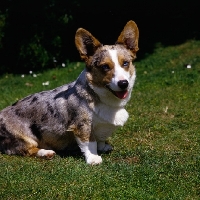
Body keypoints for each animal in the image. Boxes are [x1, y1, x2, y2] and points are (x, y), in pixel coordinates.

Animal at [0, 20, 139, 165]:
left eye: (125, 63)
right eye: (105, 67)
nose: (123, 83)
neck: (104, 99)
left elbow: (100, 139)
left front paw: (103, 146)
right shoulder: (82, 125)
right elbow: (89, 142)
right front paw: (93, 158)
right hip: (25, 138)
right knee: (26, 150)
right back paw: (46, 153)